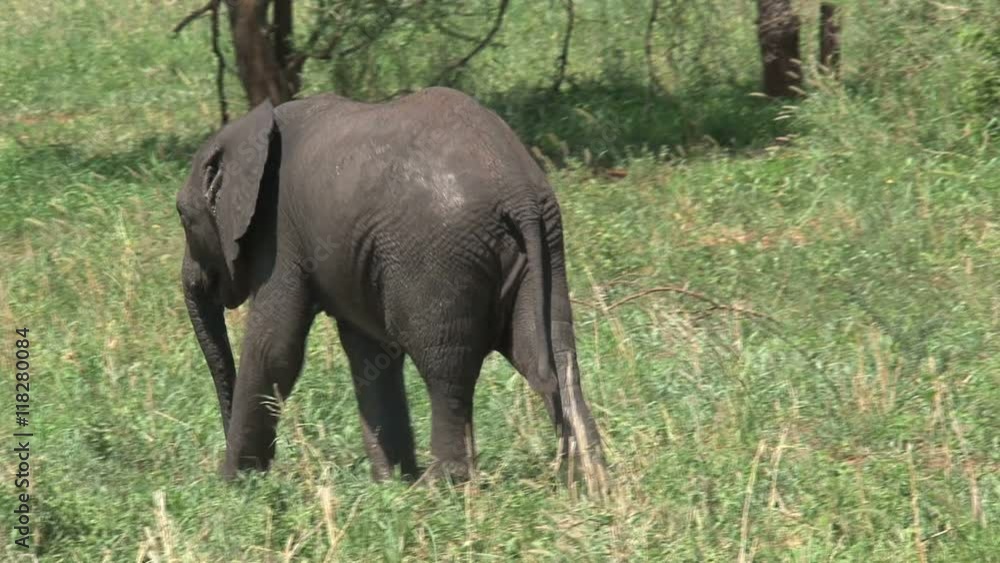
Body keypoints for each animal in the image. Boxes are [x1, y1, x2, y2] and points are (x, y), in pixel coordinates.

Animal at [176, 86, 608, 492]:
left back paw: (442, 487)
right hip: (545, 247)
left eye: (183, 216)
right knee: (550, 351)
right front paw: (390, 486)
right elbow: (369, 355)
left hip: (439, 256)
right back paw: (588, 481)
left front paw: (233, 486)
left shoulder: (280, 237)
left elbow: (274, 349)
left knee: (446, 368)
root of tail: (518, 193)